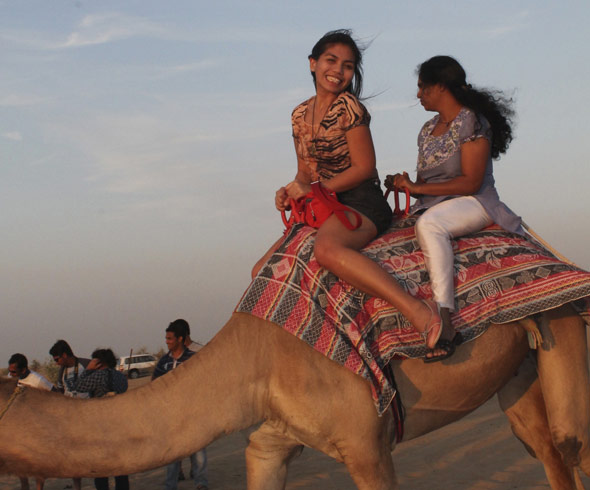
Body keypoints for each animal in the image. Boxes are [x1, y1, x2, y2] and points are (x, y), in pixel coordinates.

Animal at [1, 304, 590, 488]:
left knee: (570, 440)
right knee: (544, 446)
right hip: (517, 368)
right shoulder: (271, 441)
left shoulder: (367, 444)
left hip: (564, 321)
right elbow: (262, 457)